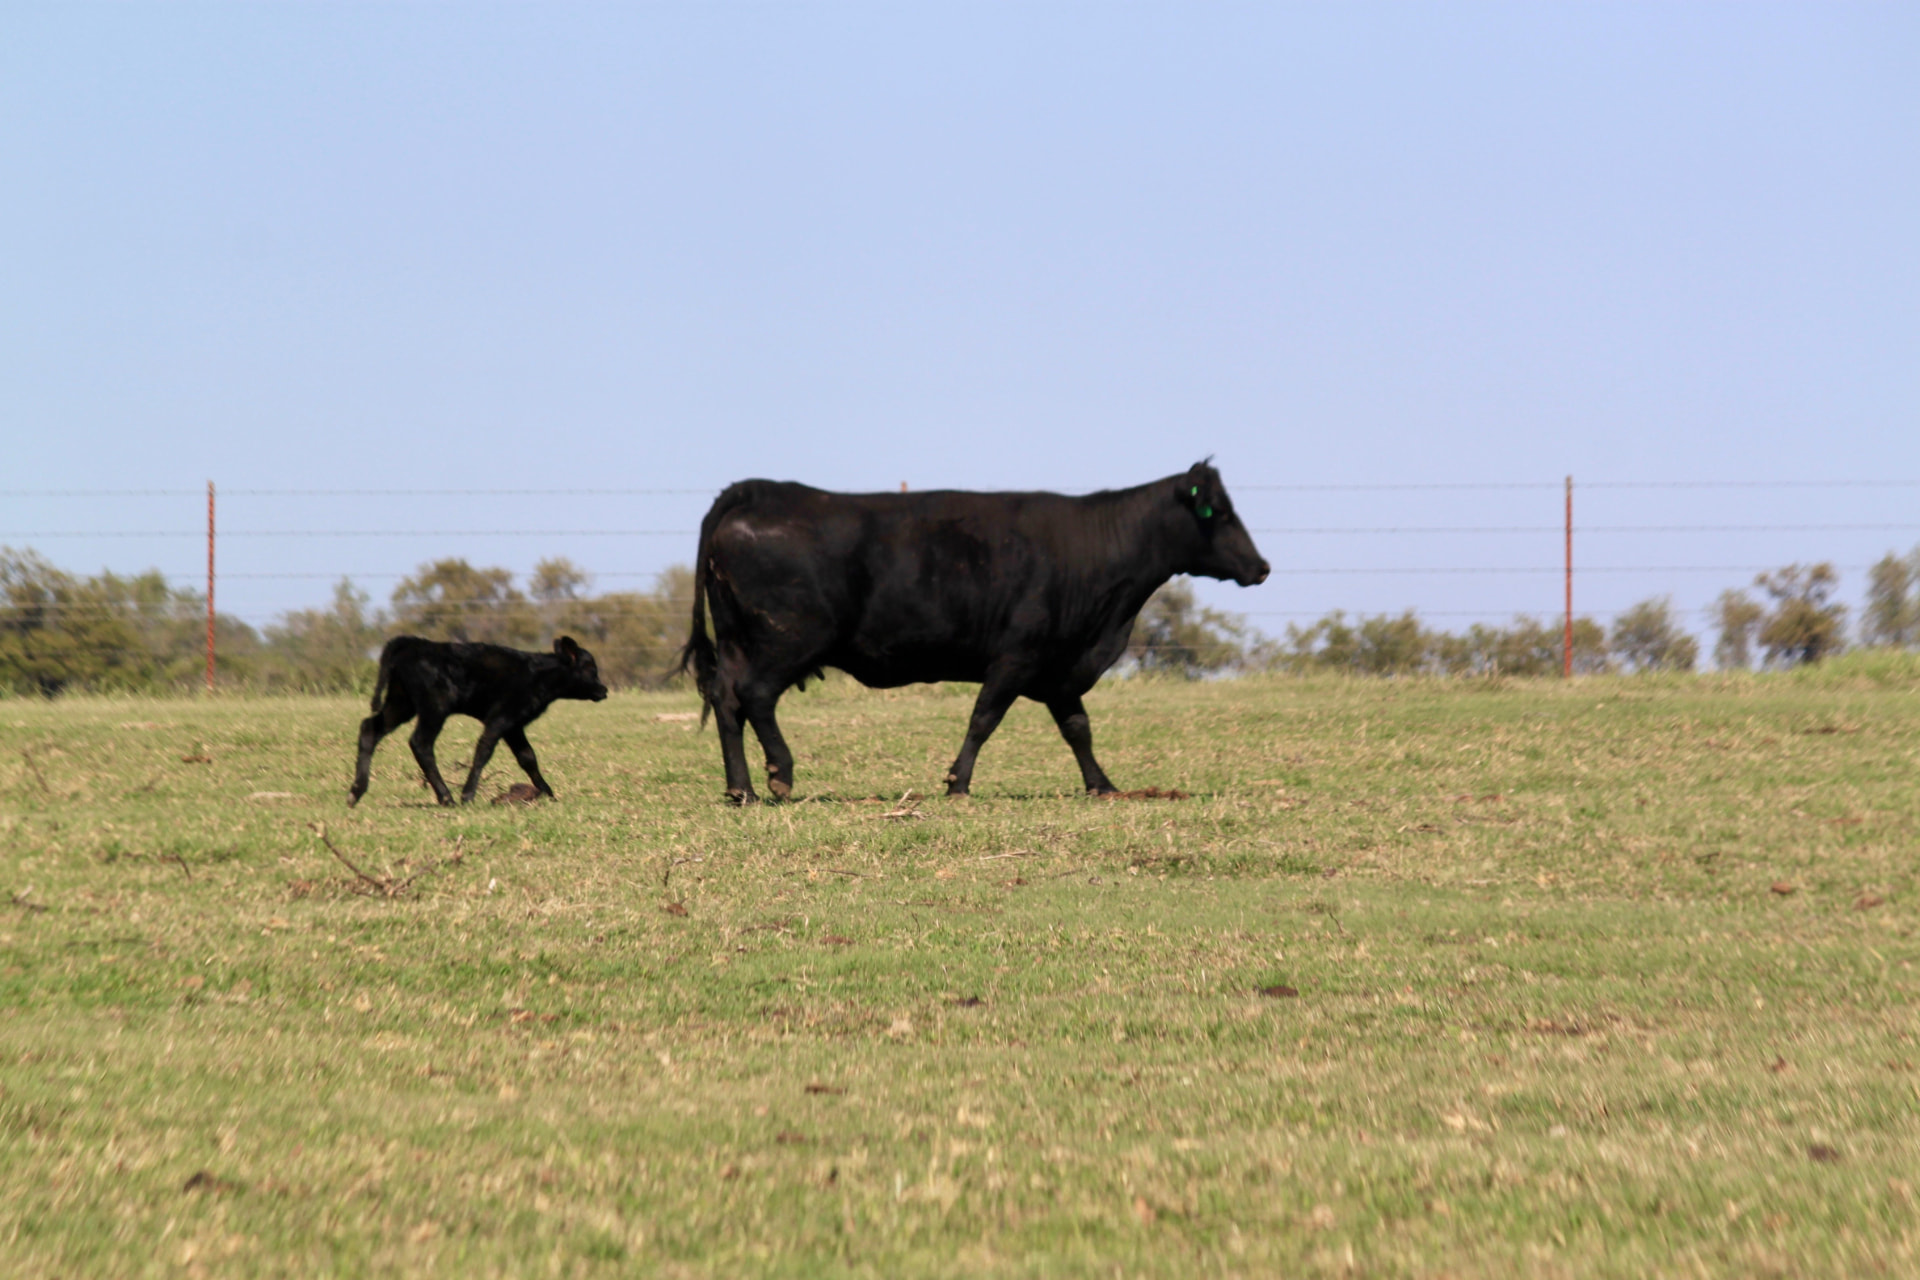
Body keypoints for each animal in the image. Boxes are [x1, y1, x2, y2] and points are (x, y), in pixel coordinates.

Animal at [348, 635, 608, 807]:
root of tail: (413, 643)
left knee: (370, 728)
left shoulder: (514, 725)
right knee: (420, 743)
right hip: (434, 707)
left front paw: (548, 793)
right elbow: (484, 751)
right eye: (590, 668)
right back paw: (447, 797)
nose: (604, 690)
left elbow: (528, 758)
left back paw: (355, 792)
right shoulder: (501, 718)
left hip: (401, 703)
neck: (538, 675)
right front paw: (467, 795)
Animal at [677, 460, 1270, 803]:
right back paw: (779, 775)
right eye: (1217, 513)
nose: (1261, 567)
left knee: (726, 700)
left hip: (738, 640)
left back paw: (741, 789)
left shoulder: (1059, 668)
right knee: (755, 696)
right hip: (787, 640)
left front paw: (1102, 785)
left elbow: (1078, 728)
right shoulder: (1017, 656)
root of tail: (760, 492)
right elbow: (984, 718)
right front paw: (957, 783)